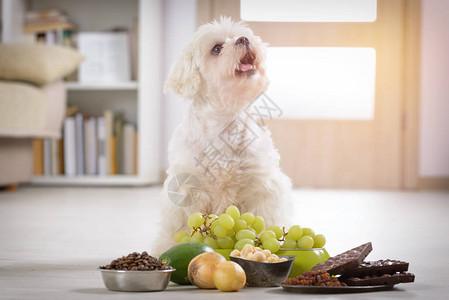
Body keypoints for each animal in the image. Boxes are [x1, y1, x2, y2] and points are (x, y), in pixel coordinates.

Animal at [154, 17, 292, 254]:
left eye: (242, 35)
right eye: (216, 49)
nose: (244, 39)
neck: (225, 124)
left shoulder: (262, 187)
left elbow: (264, 220)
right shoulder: (189, 191)